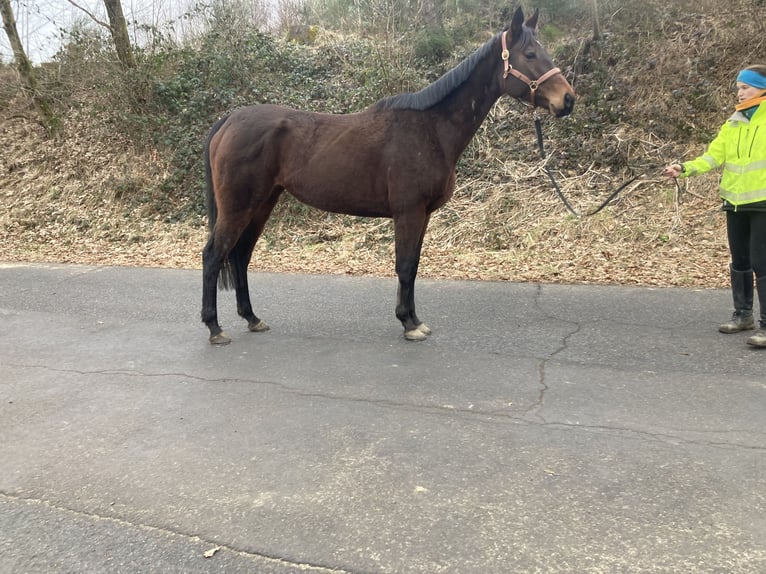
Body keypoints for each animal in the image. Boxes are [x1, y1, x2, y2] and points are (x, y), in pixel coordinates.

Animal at [201, 4, 572, 344]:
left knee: (240, 256)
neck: (431, 129)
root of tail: (228, 120)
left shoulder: (422, 215)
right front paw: (409, 324)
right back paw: (215, 328)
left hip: (263, 203)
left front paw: (414, 319)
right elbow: (405, 266)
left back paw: (252, 318)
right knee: (214, 255)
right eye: (530, 54)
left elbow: (413, 266)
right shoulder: (409, 211)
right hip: (239, 206)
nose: (567, 99)